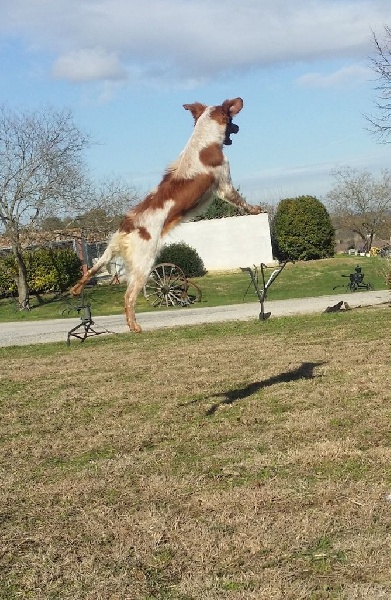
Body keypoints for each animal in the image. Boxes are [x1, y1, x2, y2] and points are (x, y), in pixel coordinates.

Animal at [72, 98, 262, 332]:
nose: (238, 128)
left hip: (112, 255)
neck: (203, 142)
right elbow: (241, 201)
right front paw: (255, 209)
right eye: (232, 120)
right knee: (128, 297)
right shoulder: (224, 184)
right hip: (144, 264)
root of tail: (126, 227)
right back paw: (134, 326)